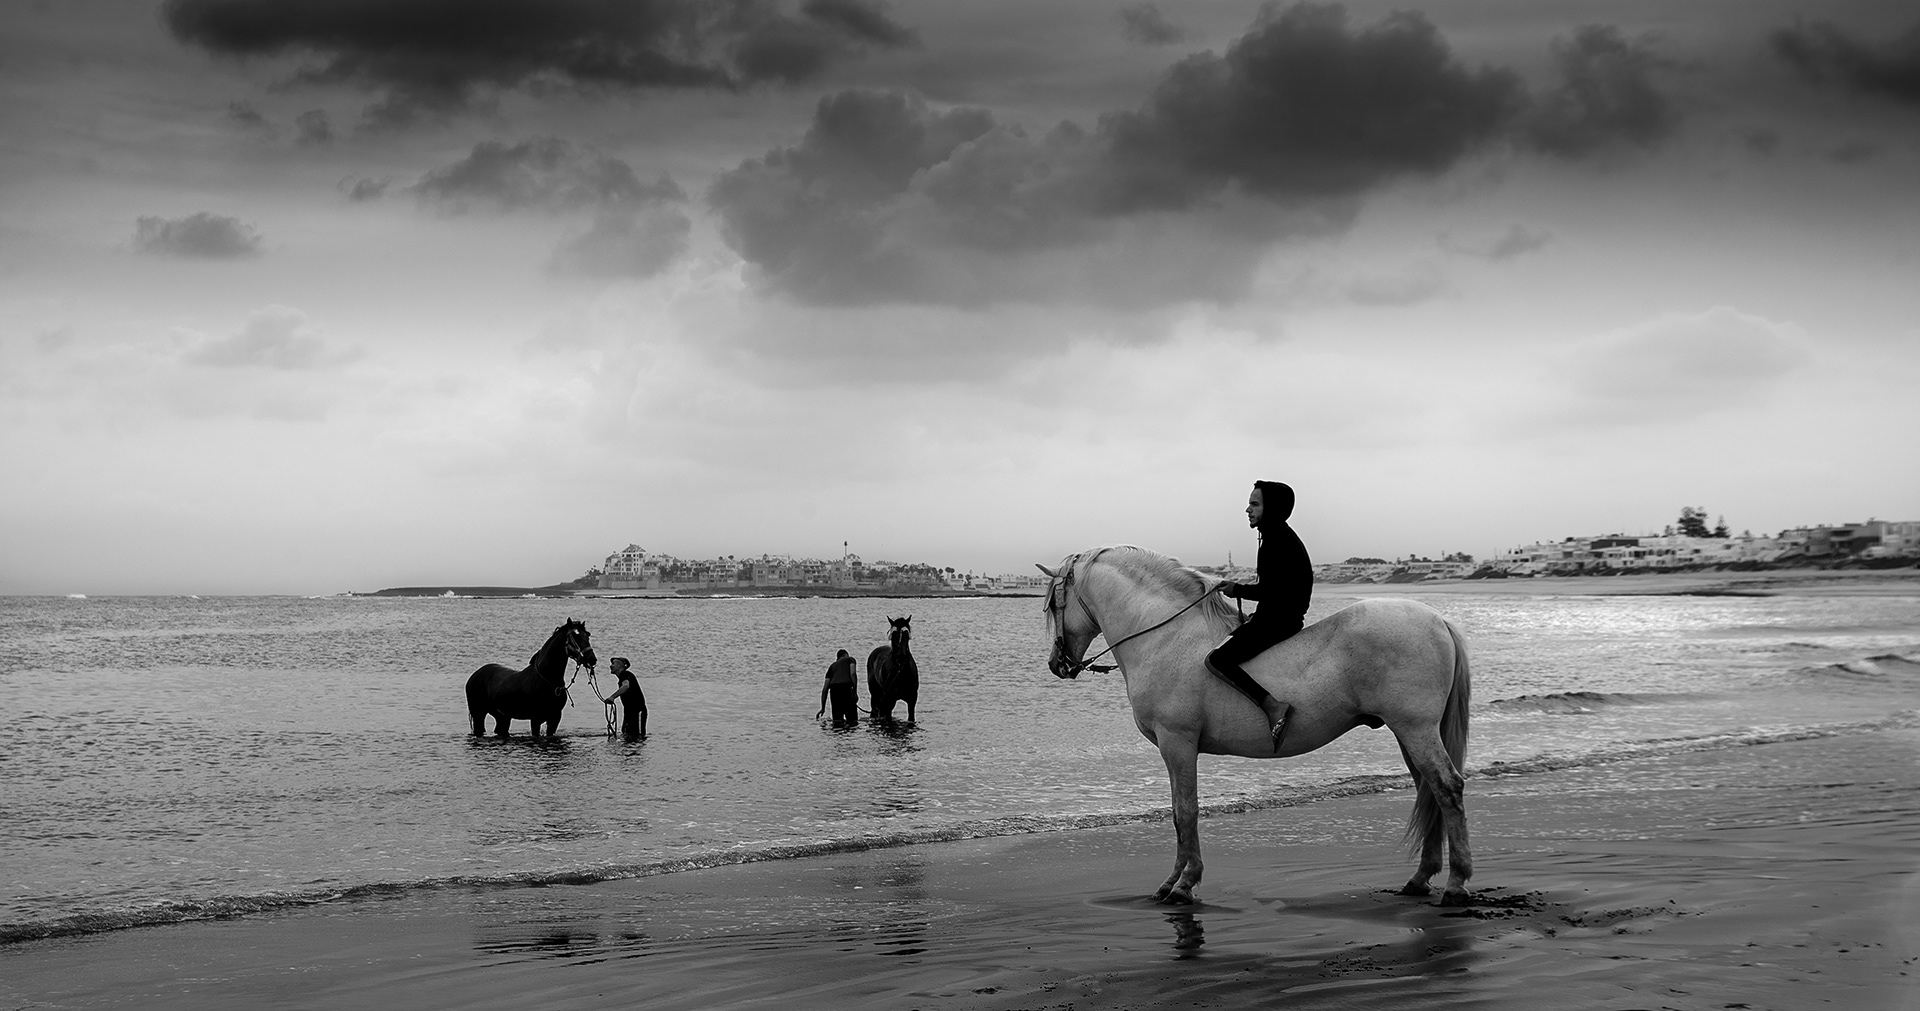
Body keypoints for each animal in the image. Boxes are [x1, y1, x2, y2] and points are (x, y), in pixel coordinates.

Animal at [465, 618, 597, 738]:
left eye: (587, 635)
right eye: (575, 636)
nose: (592, 659)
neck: (548, 679)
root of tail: (473, 676)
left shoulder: (555, 718)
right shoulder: (535, 719)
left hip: (502, 717)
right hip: (478, 714)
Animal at [1039, 546, 1473, 906]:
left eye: (1052, 606)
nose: (1058, 664)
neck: (1166, 636)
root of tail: (1438, 619)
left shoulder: (1177, 742)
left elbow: (1185, 812)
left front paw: (1184, 884)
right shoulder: (1173, 746)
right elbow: (1178, 813)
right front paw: (1172, 882)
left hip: (1415, 729)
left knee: (1447, 788)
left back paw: (1456, 883)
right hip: (1407, 733)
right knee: (1429, 791)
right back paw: (1420, 879)